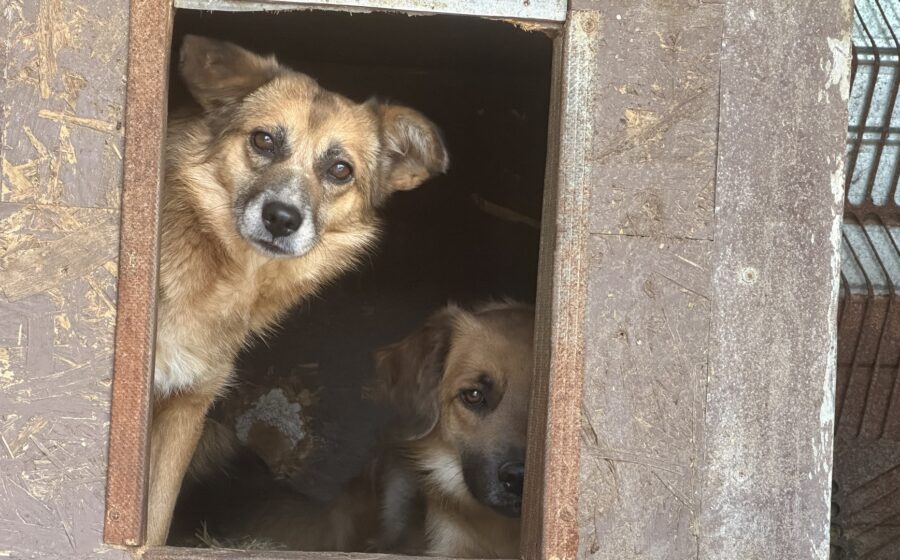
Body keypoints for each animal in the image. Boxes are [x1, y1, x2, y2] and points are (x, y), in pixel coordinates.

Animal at [147, 34, 448, 545]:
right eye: (263, 140)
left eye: (341, 170)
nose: (282, 218)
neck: (228, 276)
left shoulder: (186, 410)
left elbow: (153, 526)